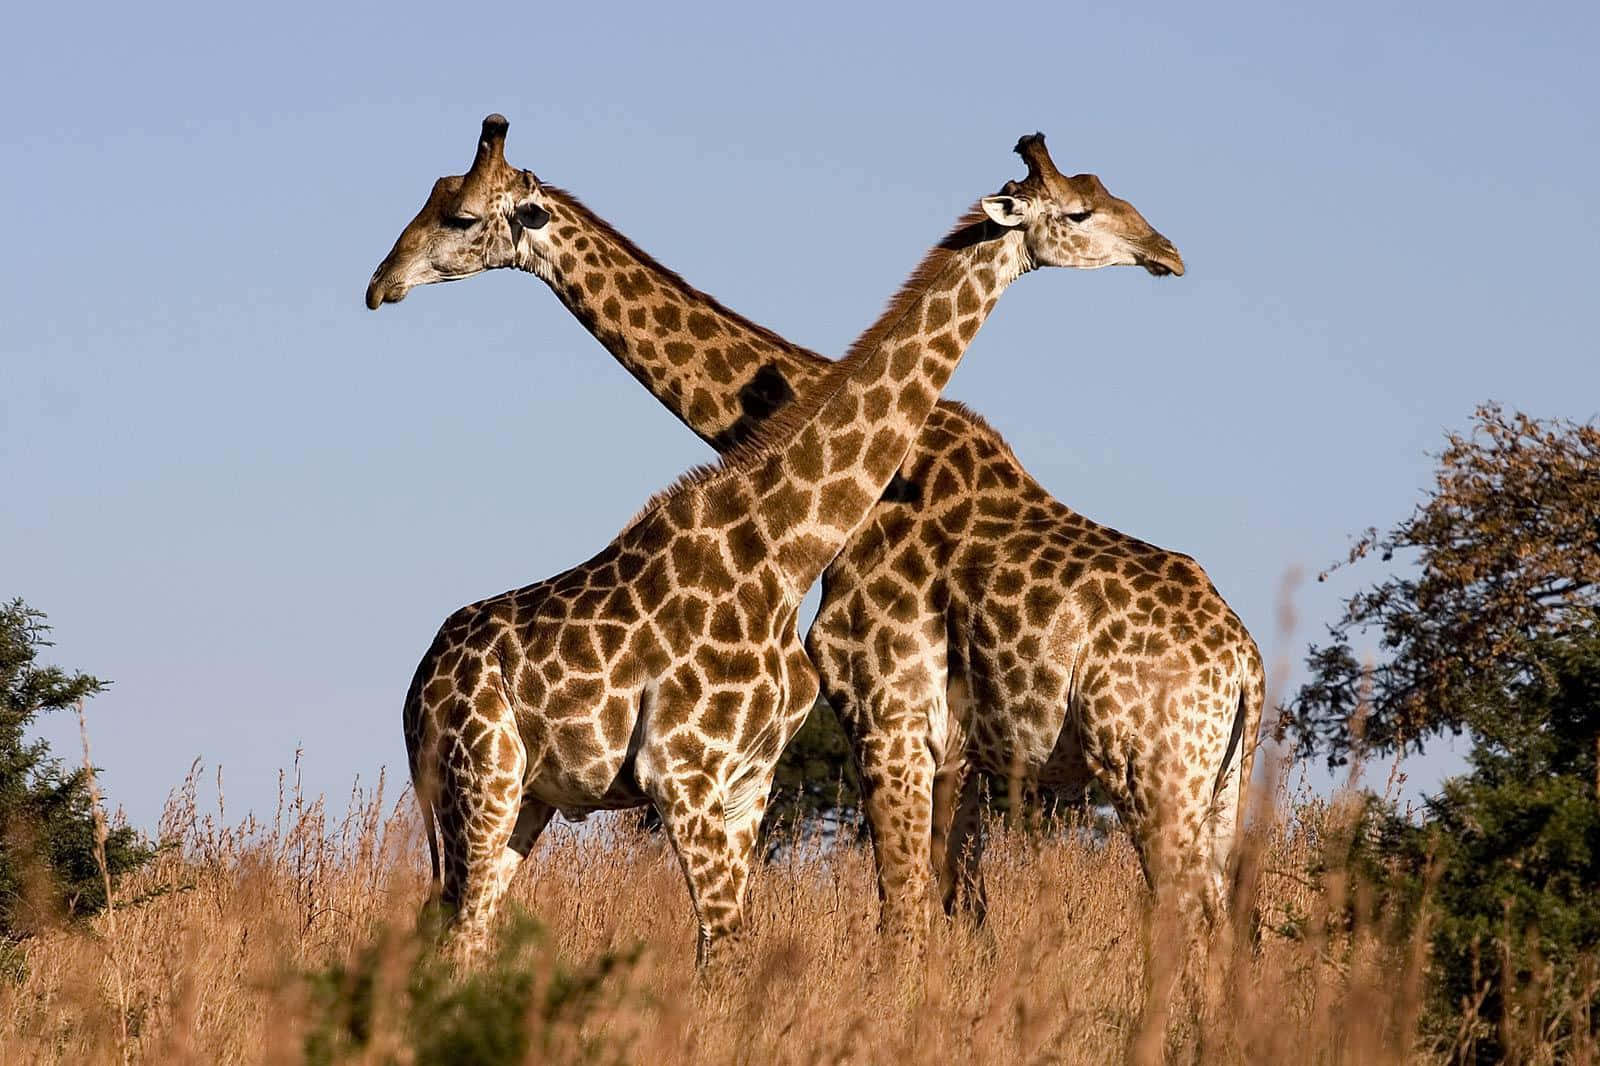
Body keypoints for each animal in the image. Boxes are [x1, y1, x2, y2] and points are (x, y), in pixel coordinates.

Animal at [366, 117, 1255, 955]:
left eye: (458, 215)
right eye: (1083, 206)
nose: (381, 284)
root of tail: (1247, 663)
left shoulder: (884, 725)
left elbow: (911, 920)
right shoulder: (908, 744)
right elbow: (930, 920)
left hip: (1163, 773)